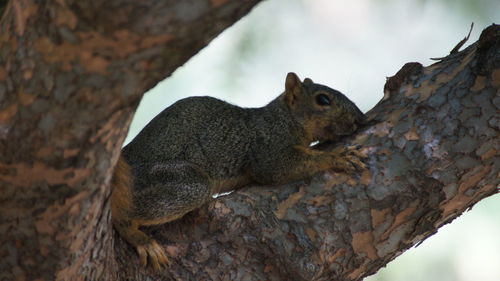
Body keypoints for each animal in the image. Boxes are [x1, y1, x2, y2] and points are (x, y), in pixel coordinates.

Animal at [110, 72, 368, 270]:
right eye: (323, 99)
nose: (360, 119)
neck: (284, 118)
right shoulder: (267, 148)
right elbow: (278, 167)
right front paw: (337, 157)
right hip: (178, 181)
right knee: (124, 214)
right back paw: (140, 239)